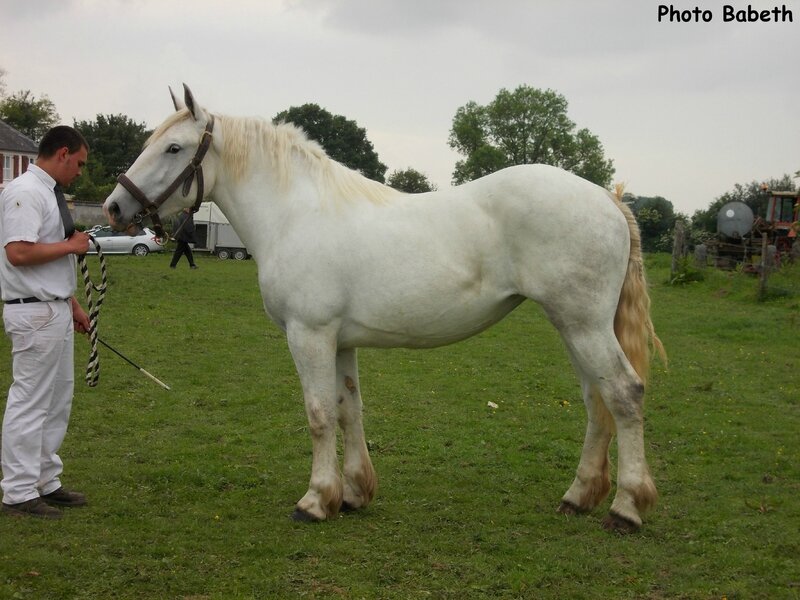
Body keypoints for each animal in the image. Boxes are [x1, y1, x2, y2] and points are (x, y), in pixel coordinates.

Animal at [108, 84, 668, 528]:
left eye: (174, 147)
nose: (116, 206)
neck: (295, 213)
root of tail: (607, 198)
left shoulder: (308, 334)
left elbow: (318, 414)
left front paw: (314, 501)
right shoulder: (338, 341)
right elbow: (347, 410)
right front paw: (352, 493)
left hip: (583, 325)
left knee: (624, 394)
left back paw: (626, 508)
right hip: (575, 326)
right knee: (596, 401)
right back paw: (579, 496)